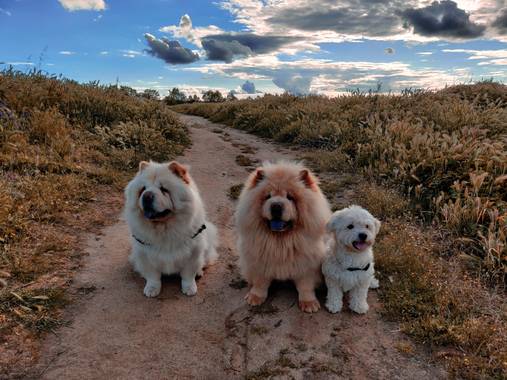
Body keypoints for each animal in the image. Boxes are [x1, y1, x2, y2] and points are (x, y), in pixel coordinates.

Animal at [125, 160, 218, 296]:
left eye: (164, 189)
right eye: (143, 189)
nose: (147, 196)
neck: (163, 227)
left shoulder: (193, 252)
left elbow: (188, 275)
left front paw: (189, 288)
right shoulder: (144, 253)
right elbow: (153, 276)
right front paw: (152, 289)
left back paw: (199, 272)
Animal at [235, 160, 332, 312]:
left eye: (290, 197)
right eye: (268, 197)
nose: (276, 206)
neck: (280, 241)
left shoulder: (307, 264)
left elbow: (305, 286)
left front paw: (309, 303)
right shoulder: (259, 261)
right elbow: (260, 283)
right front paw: (255, 297)